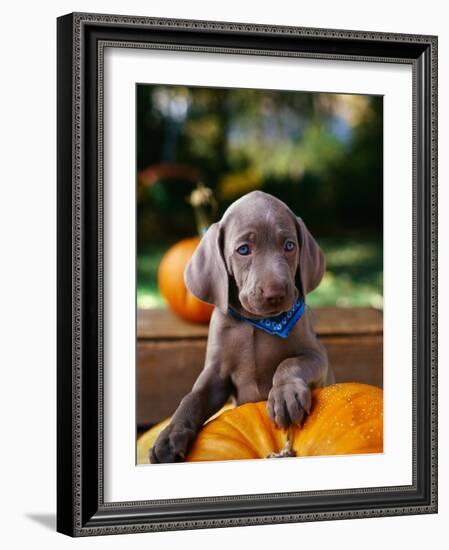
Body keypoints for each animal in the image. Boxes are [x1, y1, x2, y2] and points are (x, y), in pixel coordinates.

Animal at [150, 192, 332, 464]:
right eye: (243, 250)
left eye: (289, 246)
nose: (276, 293)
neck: (256, 323)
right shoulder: (215, 375)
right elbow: (192, 398)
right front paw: (170, 436)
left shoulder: (317, 357)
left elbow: (290, 363)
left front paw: (285, 395)